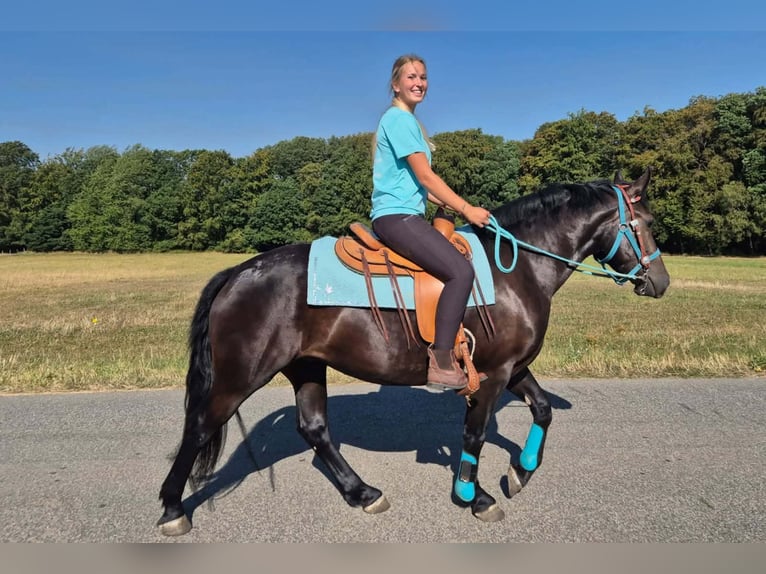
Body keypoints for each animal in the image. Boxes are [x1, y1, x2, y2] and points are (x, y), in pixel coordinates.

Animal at [157, 167, 670, 536]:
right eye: (646, 224)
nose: (661, 282)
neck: (518, 268)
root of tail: (238, 272)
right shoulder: (492, 376)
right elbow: (473, 436)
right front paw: (474, 496)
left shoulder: (513, 368)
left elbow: (542, 410)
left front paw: (521, 471)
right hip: (239, 377)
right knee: (199, 427)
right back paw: (171, 508)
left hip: (306, 367)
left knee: (315, 429)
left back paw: (362, 492)